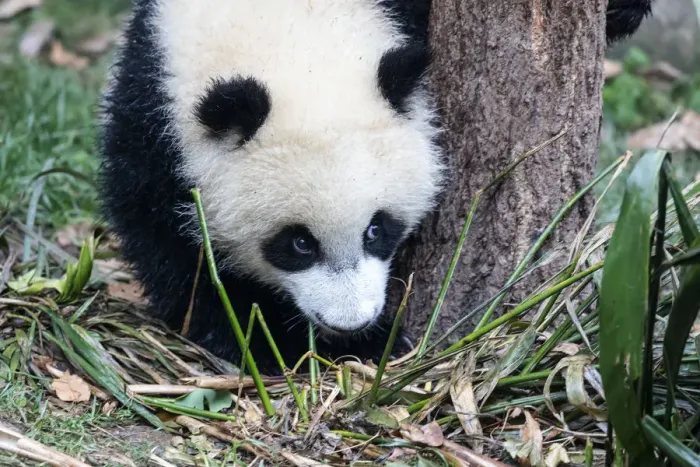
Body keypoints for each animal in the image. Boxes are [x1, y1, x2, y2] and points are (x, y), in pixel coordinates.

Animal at [99, 0, 653, 375]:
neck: (286, 31)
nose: (351, 322)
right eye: (298, 243)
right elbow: (165, 238)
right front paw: (272, 340)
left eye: (376, 230)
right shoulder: (152, 100)